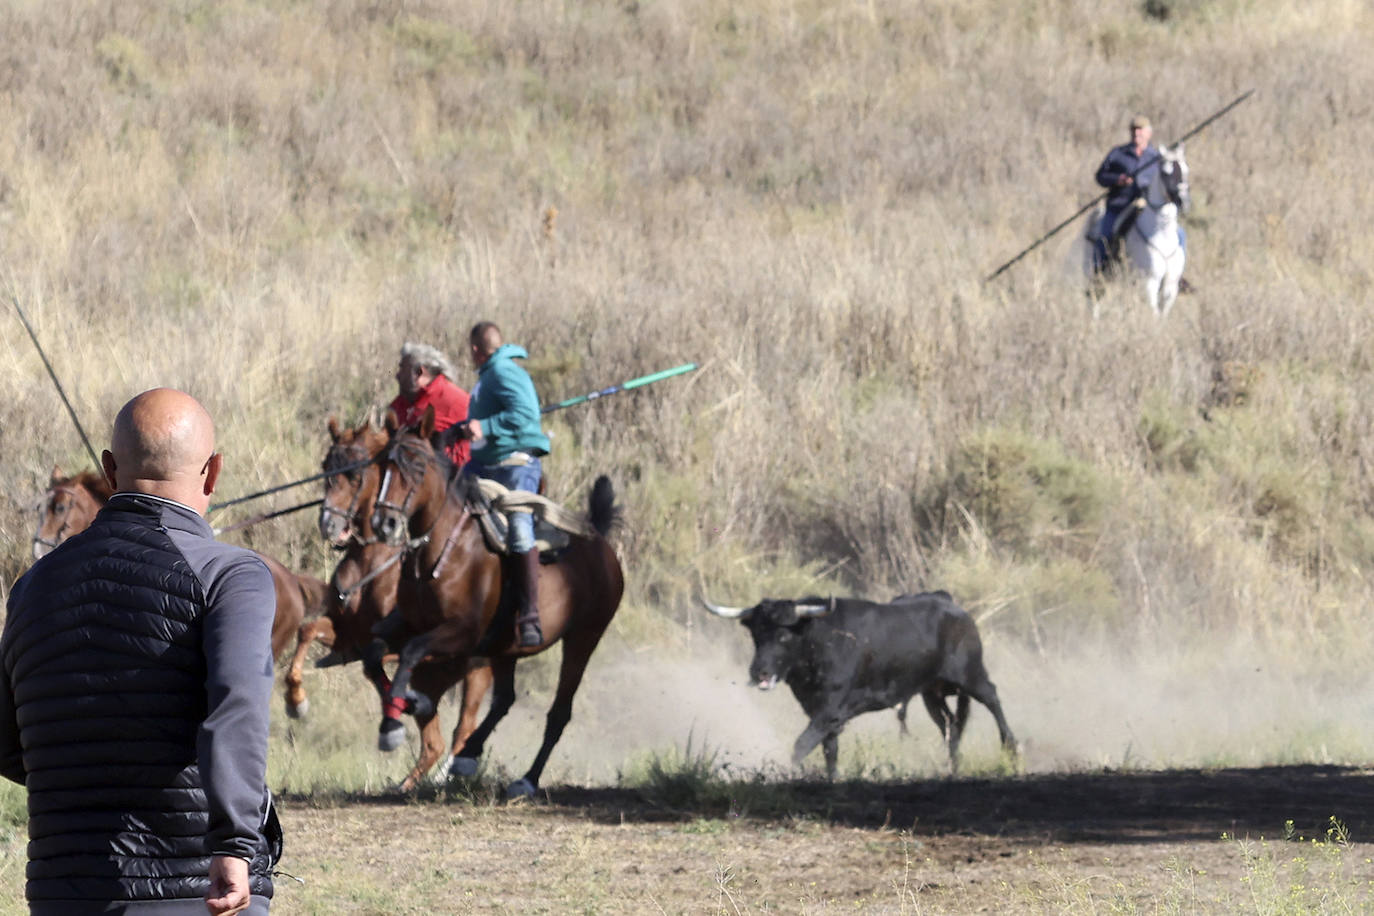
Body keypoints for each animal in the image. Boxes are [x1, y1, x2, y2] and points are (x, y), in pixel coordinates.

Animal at [295, 414, 494, 791]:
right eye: (326, 466)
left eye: (357, 473)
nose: (329, 523)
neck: (371, 560)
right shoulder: (348, 638)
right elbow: (308, 631)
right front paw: (295, 699)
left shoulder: (398, 641)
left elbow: (376, 663)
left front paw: (398, 709)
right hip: (435, 677)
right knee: (434, 743)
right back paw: (407, 781)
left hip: (476, 670)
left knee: (462, 732)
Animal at [365, 403, 623, 796]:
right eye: (383, 464)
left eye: (418, 465)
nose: (385, 523)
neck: (445, 550)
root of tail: (598, 537)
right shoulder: (408, 624)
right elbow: (374, 653)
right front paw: (405, 705)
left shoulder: (462, 633)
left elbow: (410, 652)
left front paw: (396, 722)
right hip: (506, 648)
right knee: (504, 700)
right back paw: (468, 755)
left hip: (583, 639)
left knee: (559, 712)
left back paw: (527, 780)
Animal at [708, 590, 1011, 780]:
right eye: (756, 635)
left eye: (783, 635)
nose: (759, 672)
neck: (819, 639)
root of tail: (951, 605)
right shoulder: (819, 711)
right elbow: (829, 749)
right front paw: (832, 778)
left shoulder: (830, 709)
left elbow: (801, 744)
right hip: (931, 692)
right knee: (950, 725)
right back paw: (953, 767)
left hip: (971, 675)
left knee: (993, 698)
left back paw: (1011, 749)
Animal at [1082, 141, 1192, 317]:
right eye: (1165, 173)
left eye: (1185, 169)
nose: (1184, 201)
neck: (1162, 234)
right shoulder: (1149, 283)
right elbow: (1154, 313)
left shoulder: (1170, 286)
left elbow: (1162, 315)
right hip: (1097, 273)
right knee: (1094, 298)